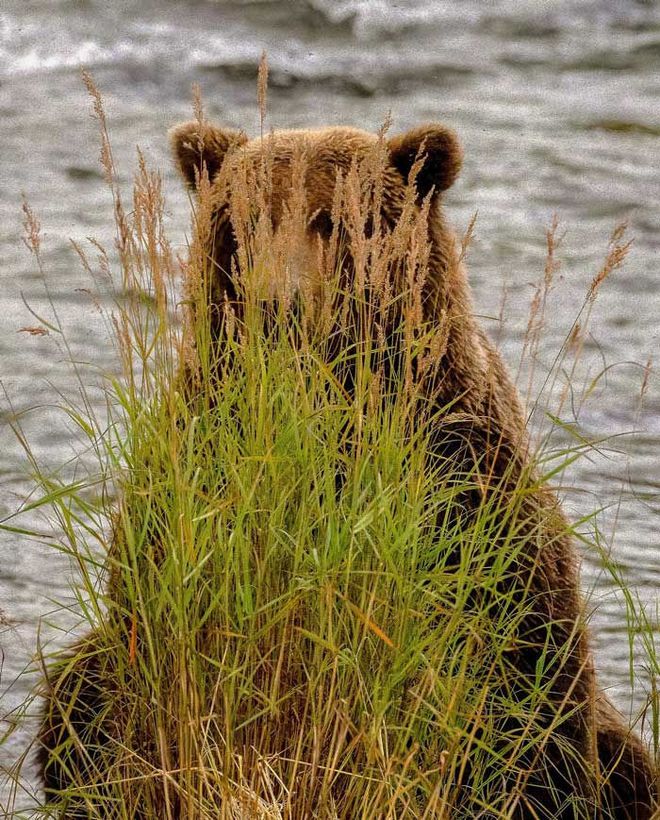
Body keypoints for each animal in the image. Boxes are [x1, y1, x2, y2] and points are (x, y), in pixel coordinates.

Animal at [38, 121, 656, 820]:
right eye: (248, 217)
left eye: (331, 219)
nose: (276, 305)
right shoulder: (197, 468)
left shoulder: (464, 481)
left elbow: (514, 654)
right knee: (74, 692)